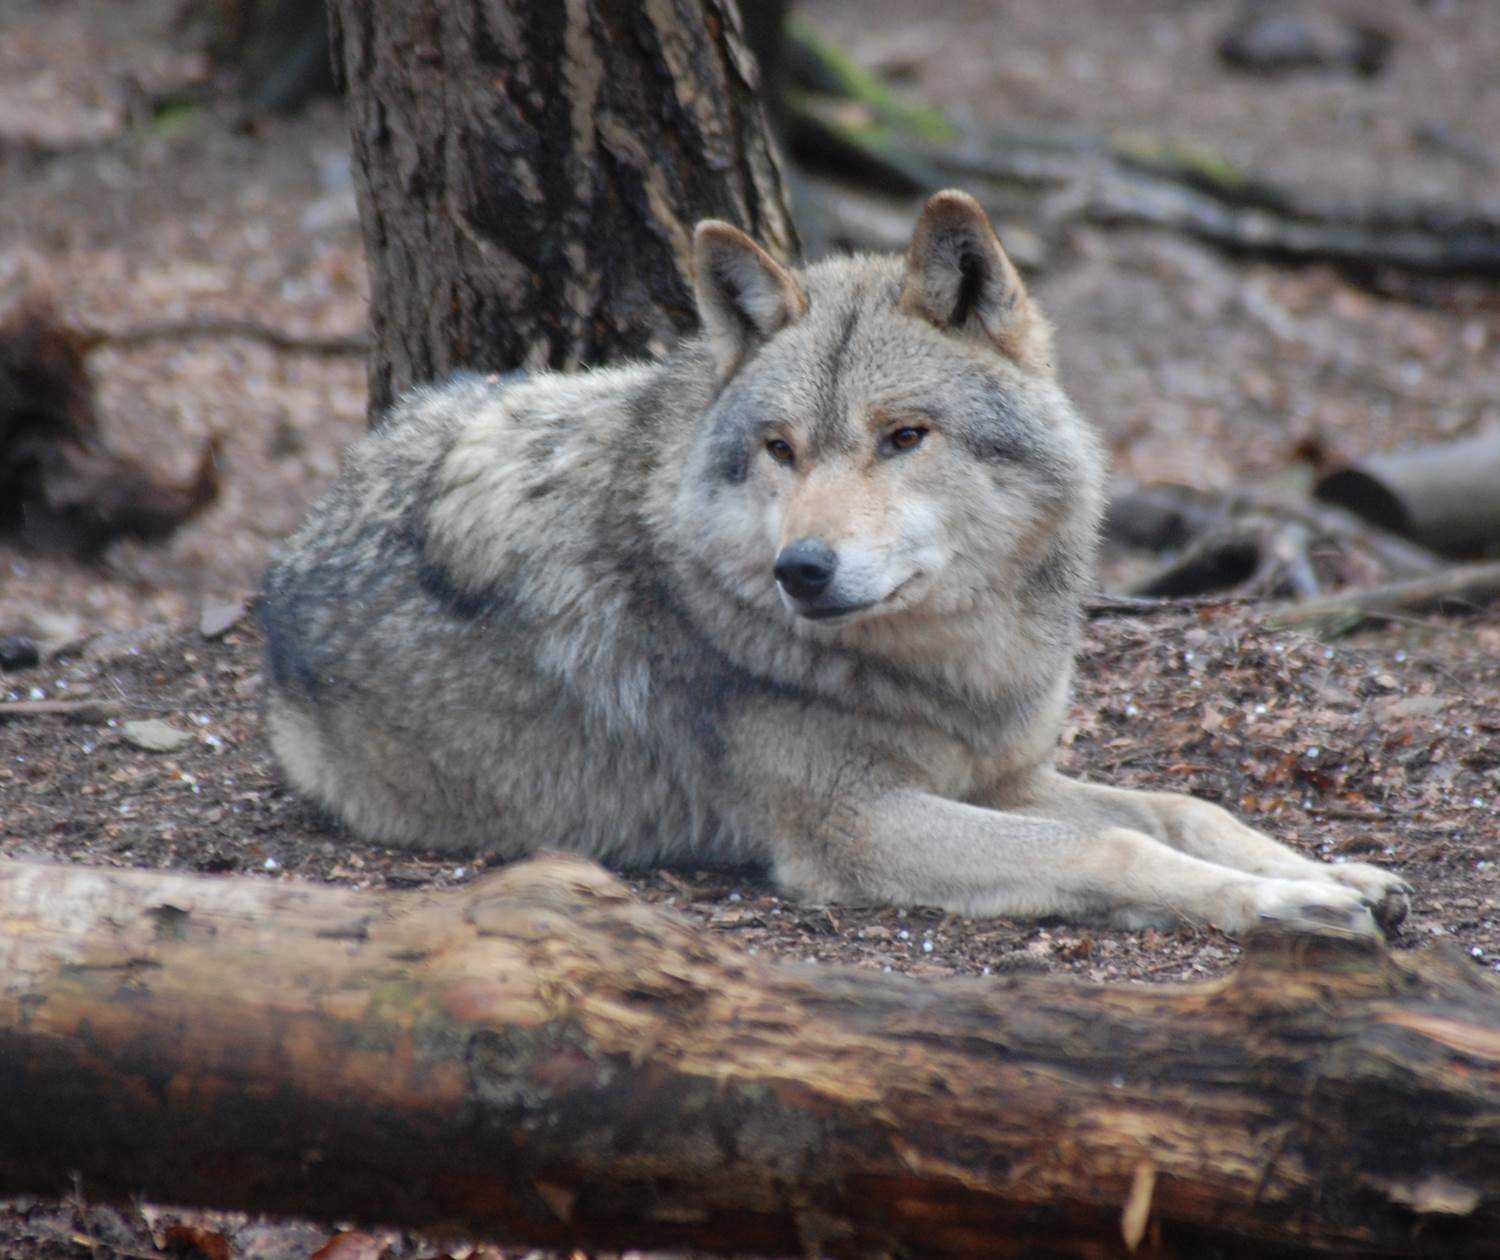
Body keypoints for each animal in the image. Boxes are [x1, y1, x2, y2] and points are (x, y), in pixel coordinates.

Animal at [261, 190, 1410, 937]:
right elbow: (1113, 848)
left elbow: (1186, 808)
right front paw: (1288, 903)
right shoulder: (855, 825)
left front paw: (1335, 873)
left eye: (903, 437)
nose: (800, 570)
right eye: (781, 449)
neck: (952, 669)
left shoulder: (1002, 778)